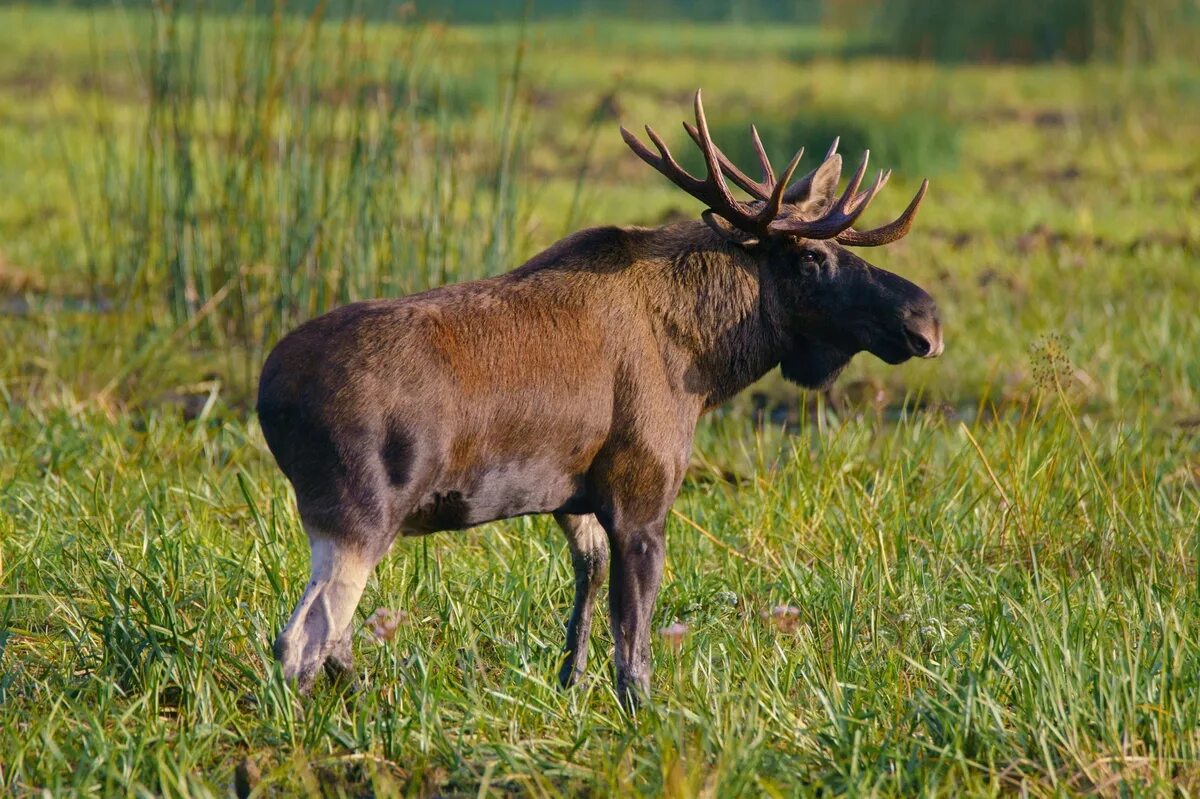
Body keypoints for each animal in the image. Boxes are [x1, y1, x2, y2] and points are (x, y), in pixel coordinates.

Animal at [258, 89, 940, 705]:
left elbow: (586, 594)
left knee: (332, 638)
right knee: (303, 639)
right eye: (812, 260)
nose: (925, 320)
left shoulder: (573, 497)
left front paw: (569, 687)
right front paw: (640, 715)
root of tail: (269, 394)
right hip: (360, 512)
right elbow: (633, 644)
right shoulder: (642, 493)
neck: (706, 359)